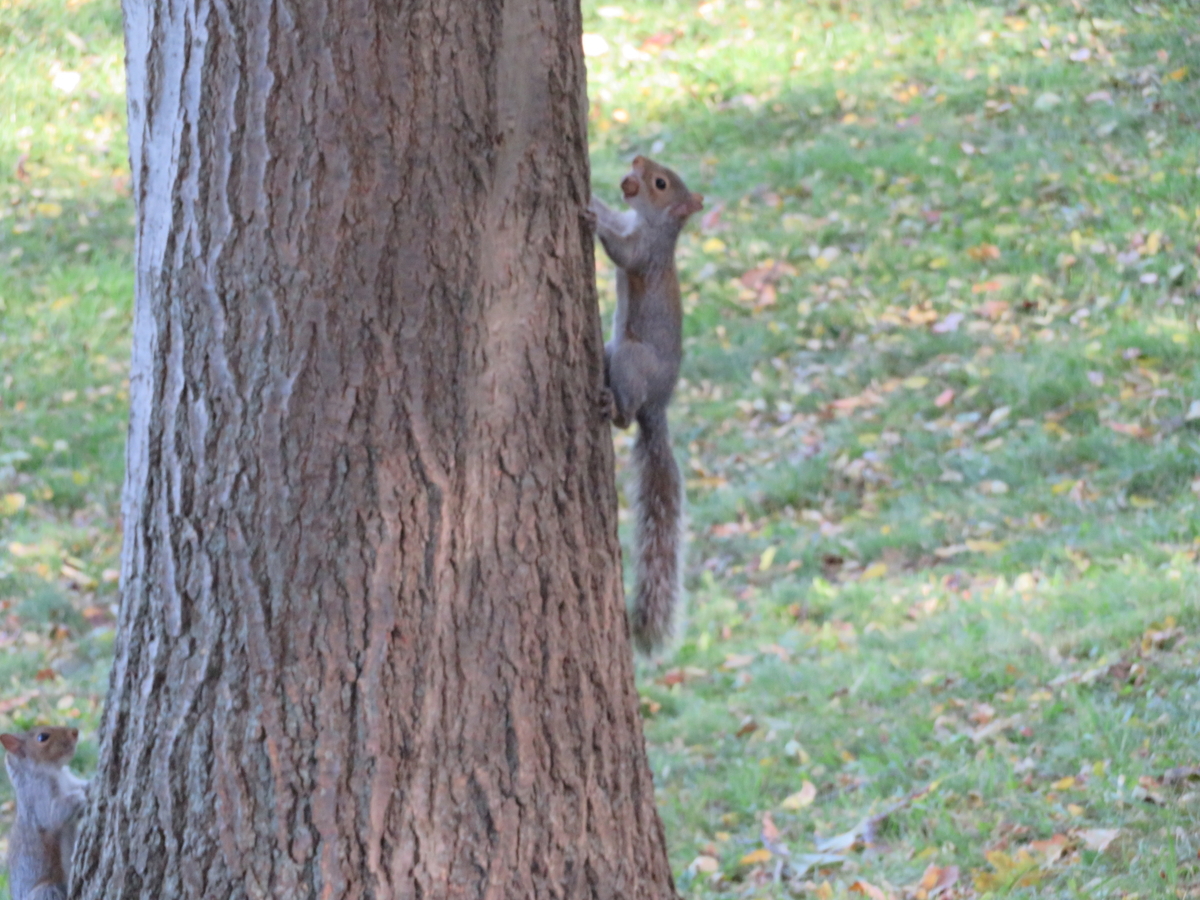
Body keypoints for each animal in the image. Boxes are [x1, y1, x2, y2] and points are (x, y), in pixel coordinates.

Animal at [1, 729, 88, 897]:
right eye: (42, 737)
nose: (75, 731)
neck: (54, 771)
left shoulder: (71, 782)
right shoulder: (38, 798)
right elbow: (54, 814)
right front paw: (85, 795)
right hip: (47, 890)